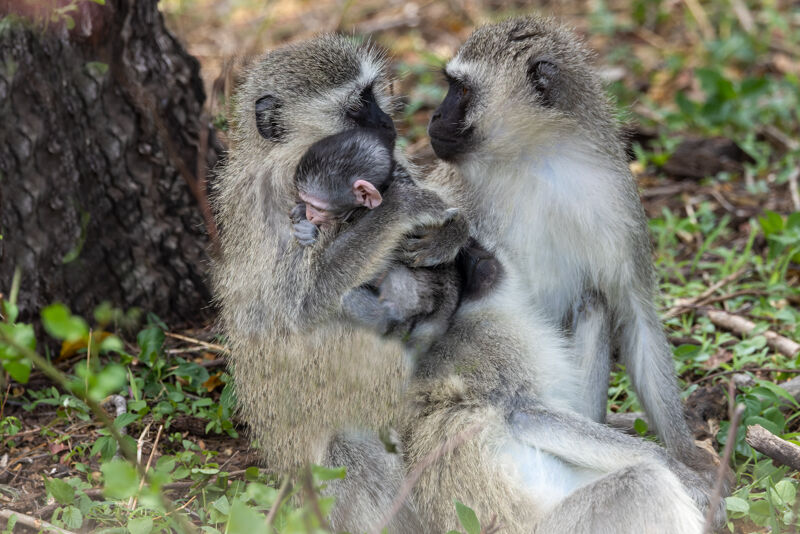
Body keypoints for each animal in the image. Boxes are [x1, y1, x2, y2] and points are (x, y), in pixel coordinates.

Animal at [211, 35, 467, 533]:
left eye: (373, 95)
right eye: (356, 107)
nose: (389, 124)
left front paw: (451, 233)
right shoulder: (277, 197)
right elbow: (301, 306)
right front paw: (401, 206)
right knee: (344, 455)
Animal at [423, 15, 725, 503]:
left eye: (461, 90)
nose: (432, 118)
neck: (533, 157)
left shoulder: (616, 198)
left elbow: (635, 313)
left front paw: (687, 455)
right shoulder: (451, 190)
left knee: (594, 301)